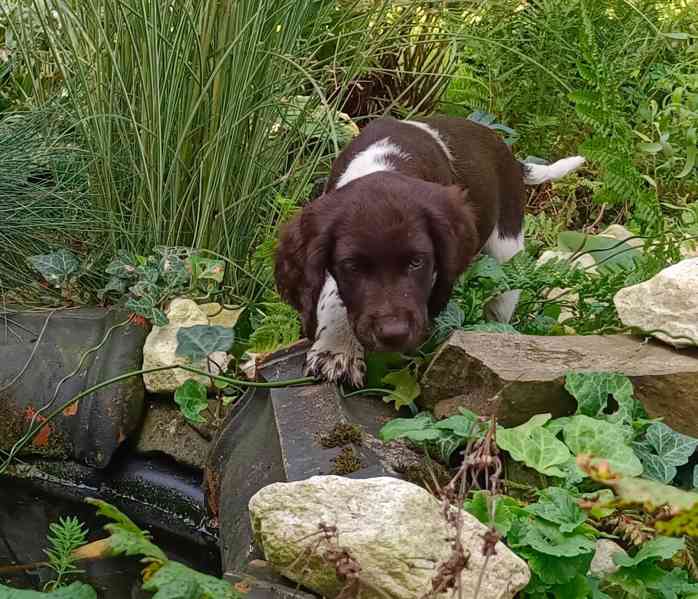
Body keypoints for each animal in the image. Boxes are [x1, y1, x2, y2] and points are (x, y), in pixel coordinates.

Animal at [272, 116, 580, 386]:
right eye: (352, 266)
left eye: (417, 262)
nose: (393, 334)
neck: (385, 163)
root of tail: (509, 154)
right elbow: (333, 295)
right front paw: (337, 349)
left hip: (507, 249)